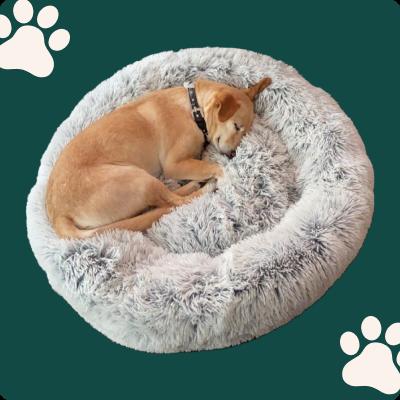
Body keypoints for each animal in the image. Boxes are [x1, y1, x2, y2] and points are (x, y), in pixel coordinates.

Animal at [46, 77, 272, 238]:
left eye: (245, 132)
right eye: (236, 126)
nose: (233, 154)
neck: (194, 109)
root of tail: (58, 215)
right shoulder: (174, 165)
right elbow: (215, 167)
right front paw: (226, 175)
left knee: (166, 202)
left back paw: (193, 184)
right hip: (137, 179)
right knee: (174, 203)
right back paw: (203, 187)